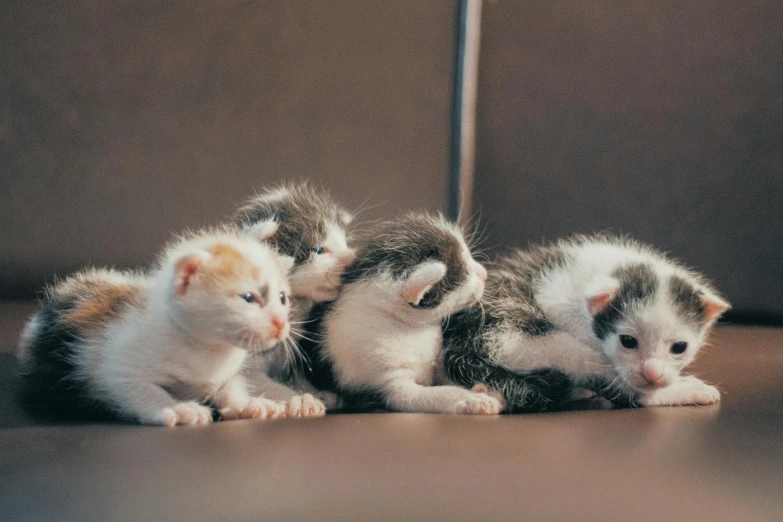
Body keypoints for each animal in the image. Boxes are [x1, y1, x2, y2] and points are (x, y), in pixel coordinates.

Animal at [18, 226, 294, 422]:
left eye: (283, 298)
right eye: (248, 298)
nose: (281, 322)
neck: (205, 351)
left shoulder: (227, 373)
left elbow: (231, 386)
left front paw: (248, 403)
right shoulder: (116, 369)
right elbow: (141, 390)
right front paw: (178, 409)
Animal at [233, 183, 356, 414]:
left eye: (345, 243)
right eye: (319, 249)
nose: (354, 259)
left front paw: (319, 393)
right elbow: (258, 381)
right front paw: (301, 400)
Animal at [304, 212, 506, 414]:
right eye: (466, 271)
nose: (485, 274)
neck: (412, 327)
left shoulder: (436, 364)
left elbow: (446, 379)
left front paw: (484, 390)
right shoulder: (393, 386)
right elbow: (438, 393)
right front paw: (470, 399)